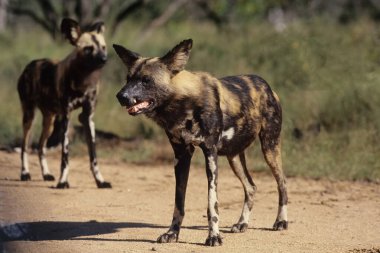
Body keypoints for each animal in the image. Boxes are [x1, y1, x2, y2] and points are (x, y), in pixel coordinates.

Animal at [17, 17, 111, 188]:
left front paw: (100, 181)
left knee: (41, 147)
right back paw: (25, 173)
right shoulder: (66, 117)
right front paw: (63, 182)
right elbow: (65, 156)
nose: (104, 59)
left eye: (103, 47)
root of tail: (30, 65)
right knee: (25, 147)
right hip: (29, 117)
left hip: (49, 121)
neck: (83, 81)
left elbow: (93, 157)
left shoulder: (87, 118)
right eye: (88, 49)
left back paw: (46, 174)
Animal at [113, 39, 288, 245]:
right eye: (128, 78)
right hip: (234, 157)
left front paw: (213, 236)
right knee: (251, 187)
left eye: (146, 80)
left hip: (269, 148)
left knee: (282, 183)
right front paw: (172, 233)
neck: (183, 105)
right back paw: (242, 223)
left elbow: (212, 204)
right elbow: (178, 203)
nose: (120, 96)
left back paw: (281, 221)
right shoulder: (181, 155)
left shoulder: (210, 152)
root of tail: (266, 85)